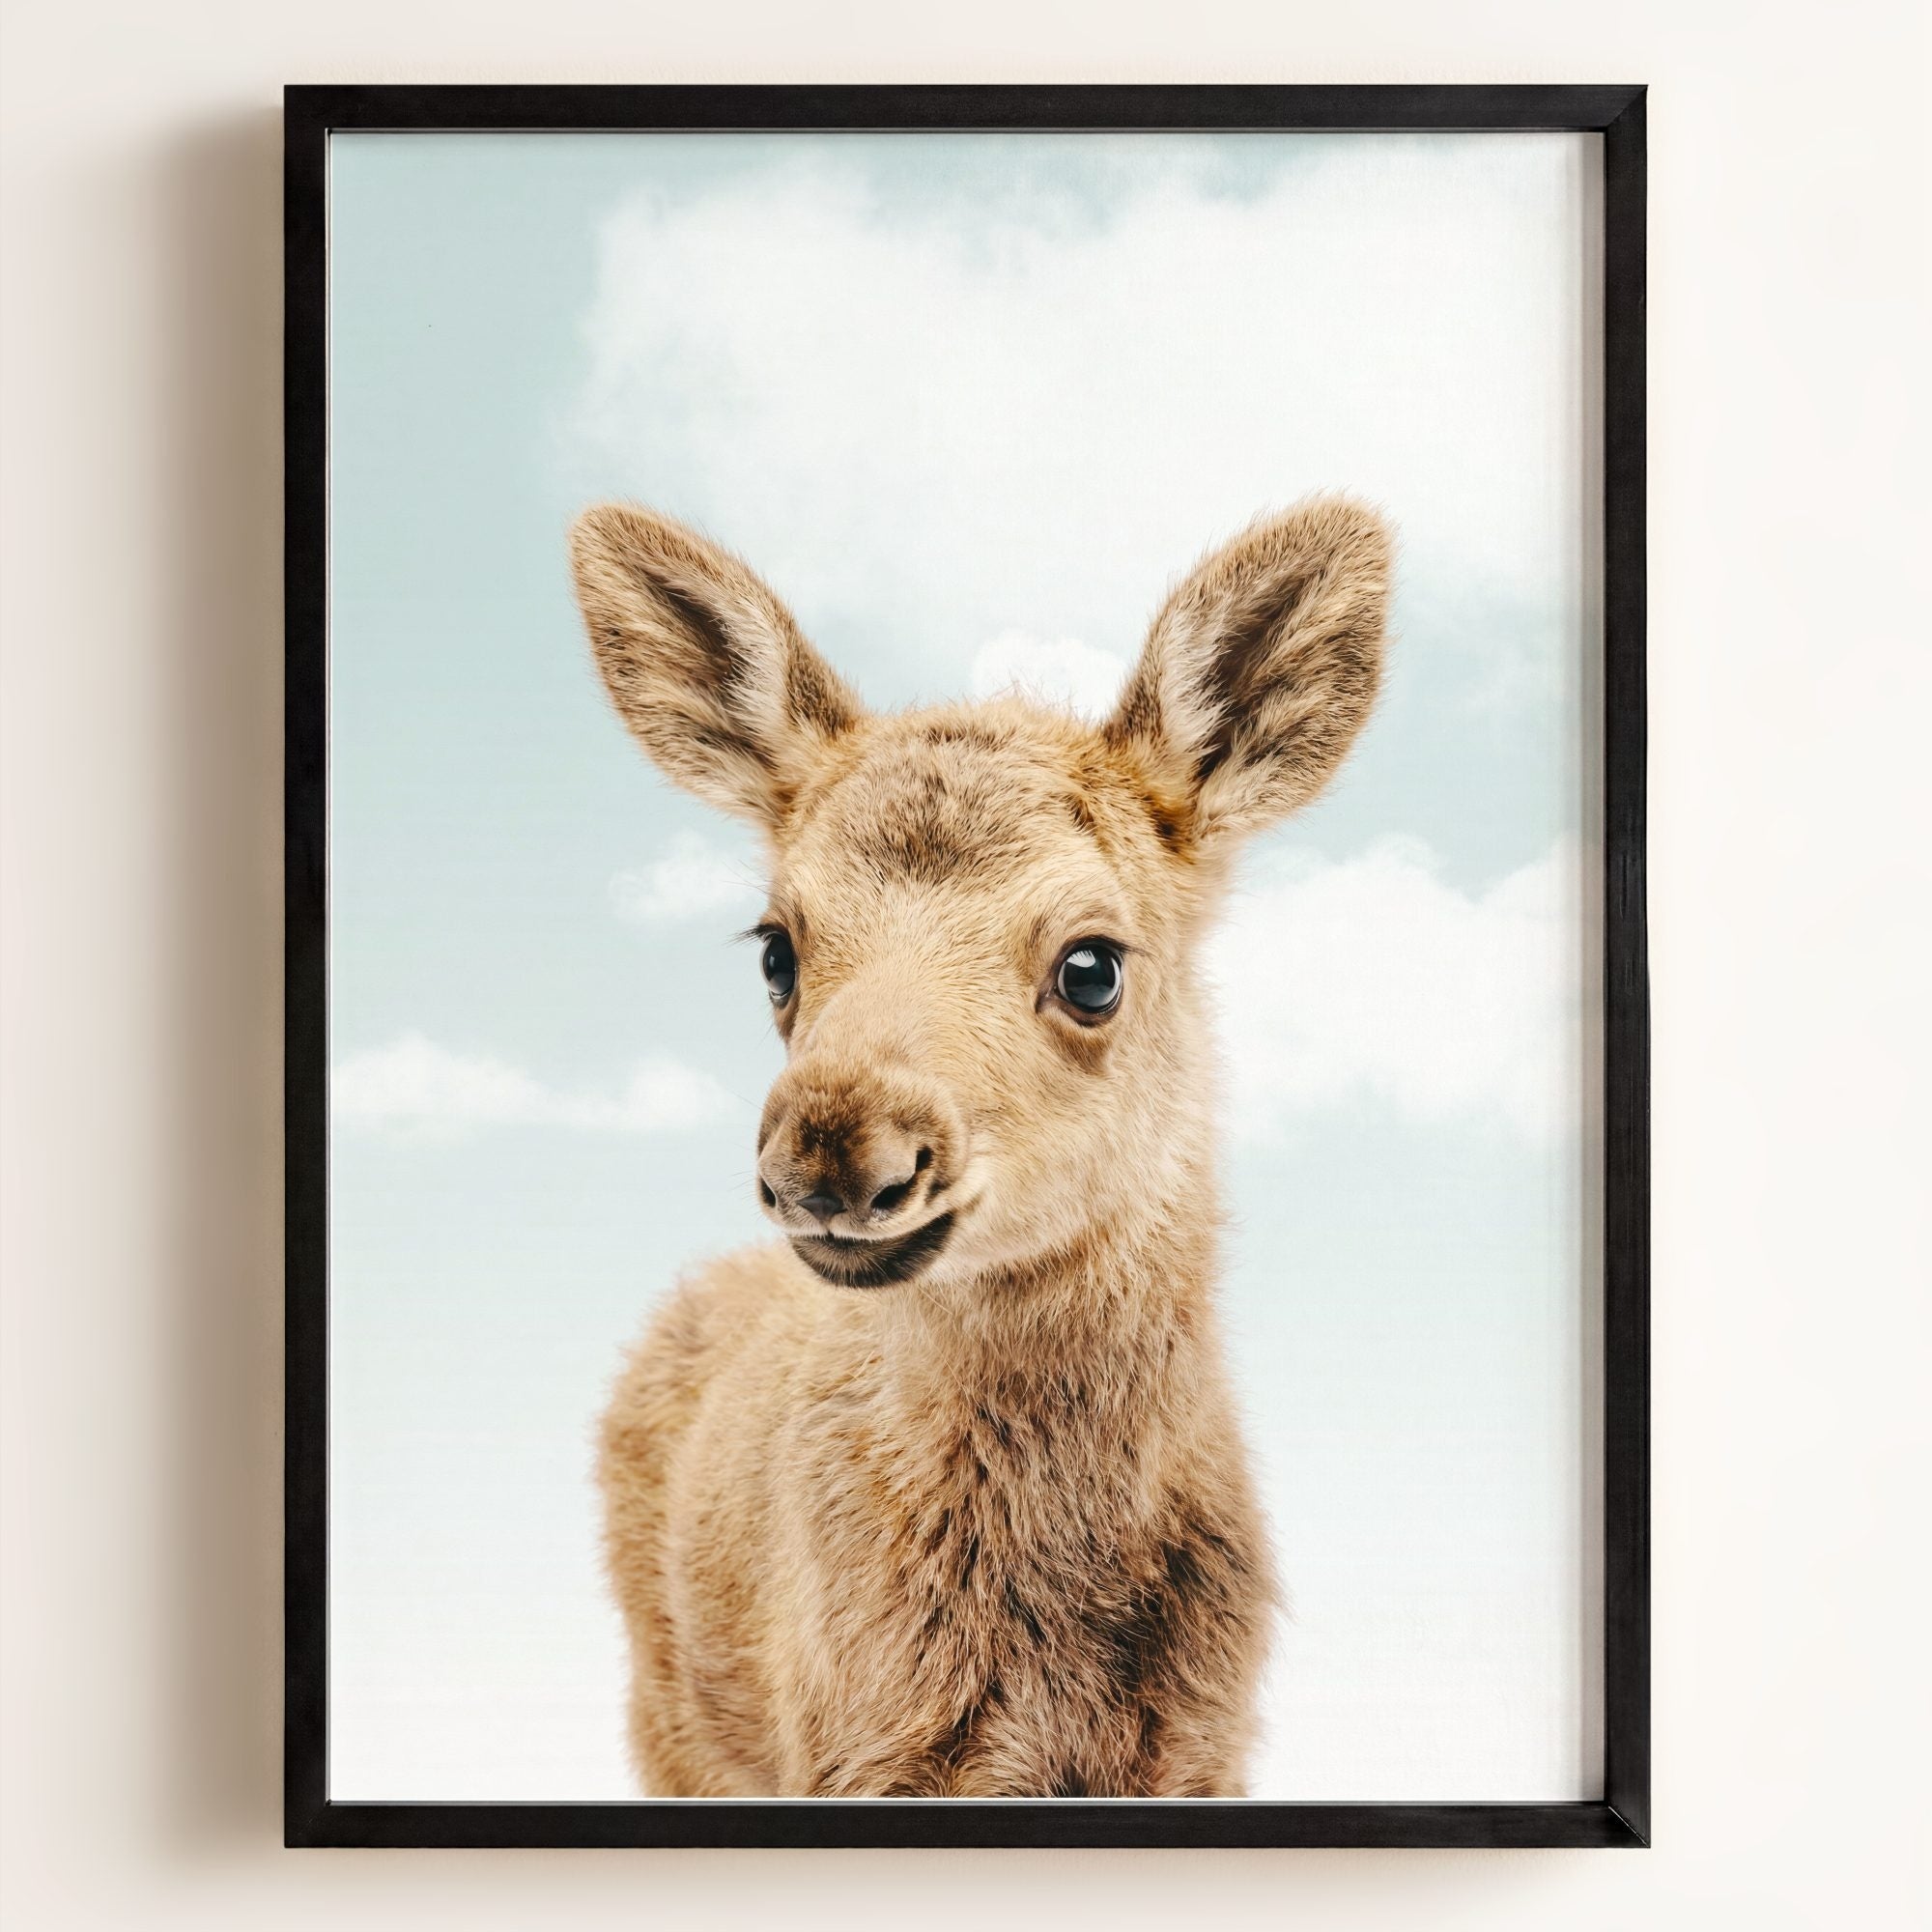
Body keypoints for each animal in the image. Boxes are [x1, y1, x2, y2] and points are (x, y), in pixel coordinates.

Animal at [570, 494, 1391, 1798]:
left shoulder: (1204, 1747)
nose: (833, 1152)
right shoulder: (847, 1748)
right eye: (776, 947)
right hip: (669, 1714)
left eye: (1092, 964)